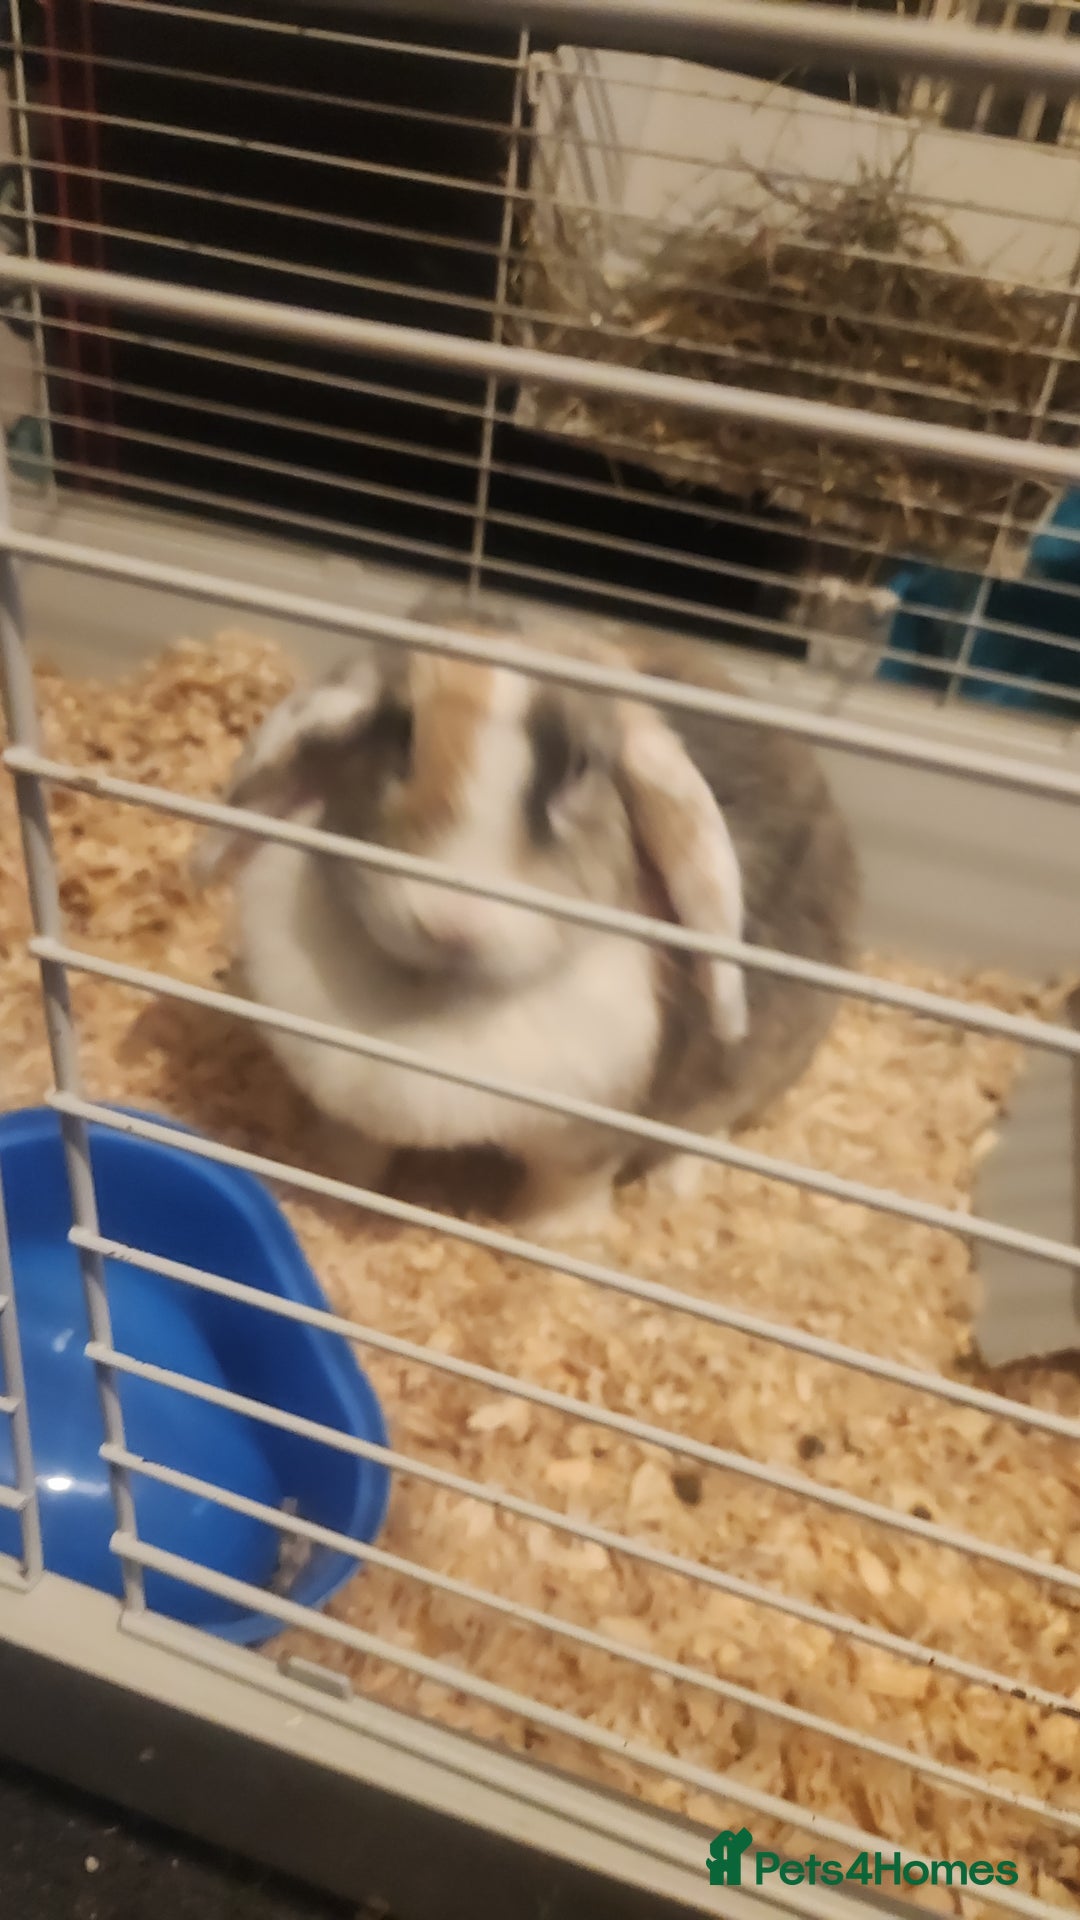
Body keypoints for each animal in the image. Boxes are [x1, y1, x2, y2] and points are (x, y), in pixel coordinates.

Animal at [193, 589, 859, 1243]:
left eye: (580, 766)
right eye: (401, 734)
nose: (450, 922)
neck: (437, 997)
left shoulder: (585, 1139)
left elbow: (568, 1188)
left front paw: (550, 1239)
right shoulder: (347, 1111)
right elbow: (352, 1151)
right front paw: (324, 1190)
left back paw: (674, 1186)